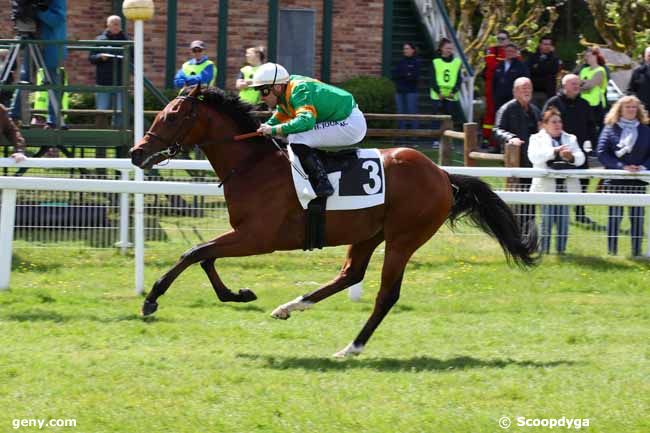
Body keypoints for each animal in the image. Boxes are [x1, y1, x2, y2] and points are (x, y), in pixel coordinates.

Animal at [128, 85, 536, 358]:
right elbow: (204, 256)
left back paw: (351, 347)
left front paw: (151, 300)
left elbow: (194, 253)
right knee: (350, 275)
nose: (136, 152)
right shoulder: (244, 234)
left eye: (172, 116)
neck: (253, 165)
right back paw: (291, 307)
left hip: (403, 238)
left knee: (386, 294)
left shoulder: (257, 237)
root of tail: (442, 174)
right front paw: (238, 294)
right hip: (369, 233)